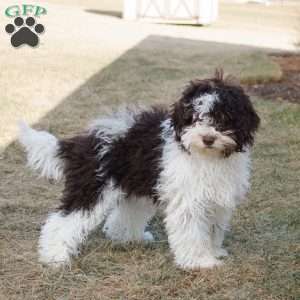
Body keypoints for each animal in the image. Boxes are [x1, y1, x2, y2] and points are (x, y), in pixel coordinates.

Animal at [18, 71, 258, 270]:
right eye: (195, 118)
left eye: (224, 118)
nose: (208, 138)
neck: (207, 157)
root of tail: (83, 143)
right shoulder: (188, 201)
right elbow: (192, 231)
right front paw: (199, 262)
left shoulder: (215, 199)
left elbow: (213, 228)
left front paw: (214, 252)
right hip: (92, 188)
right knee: (61, 222)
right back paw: (54, 257)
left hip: (135, 185)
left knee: (122, 216)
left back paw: (129, 237)